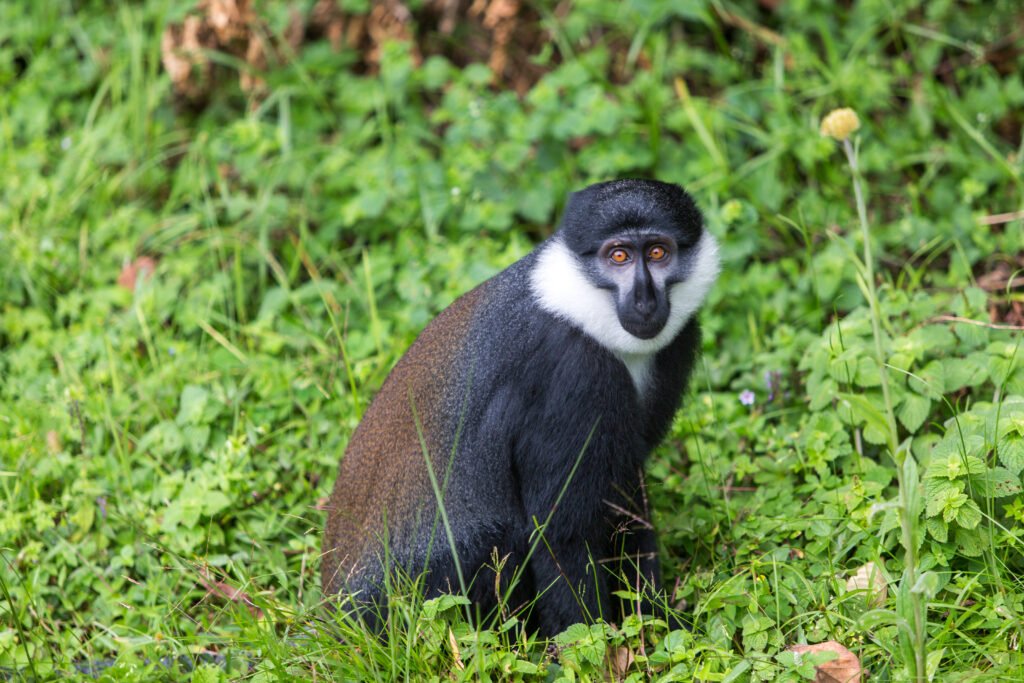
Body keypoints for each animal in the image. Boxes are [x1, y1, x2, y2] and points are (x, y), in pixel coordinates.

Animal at [321, 179, 719, 637]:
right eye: (618, 256)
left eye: (658, 252)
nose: (644, 299)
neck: (578, 307)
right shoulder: (573, 375)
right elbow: (562, 532)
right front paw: (598, 644)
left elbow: (625, 495)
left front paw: (656, 621)